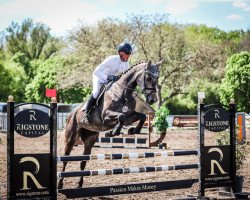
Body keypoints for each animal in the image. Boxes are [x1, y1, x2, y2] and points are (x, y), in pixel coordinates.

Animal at [57, 60, 161, 188]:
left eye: (157, 77)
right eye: (148, 77)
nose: (153, 100)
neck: (123, 93)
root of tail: (72, 112)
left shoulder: (130, 116)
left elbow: (141, 116)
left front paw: (132, 130)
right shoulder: (105, 116)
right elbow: (121, 117)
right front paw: (113, 132)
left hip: (89, 139)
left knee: (83, 161)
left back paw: (80, 184)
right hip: (71, 137)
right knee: (65, 159)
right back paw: (60, 184)